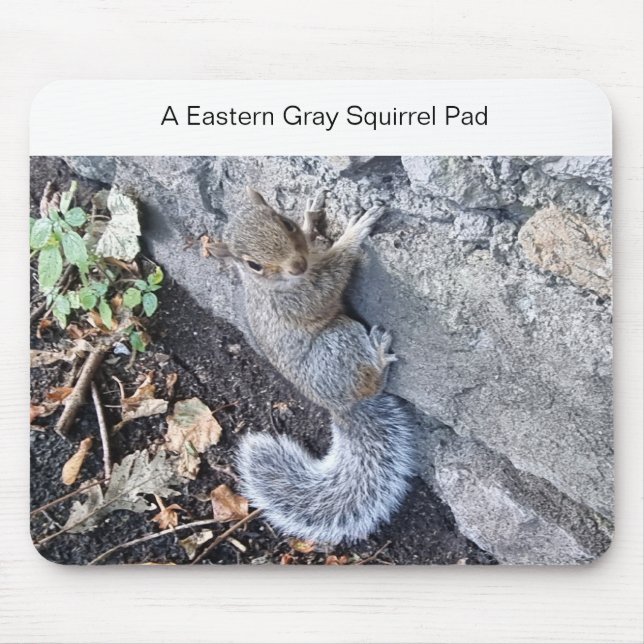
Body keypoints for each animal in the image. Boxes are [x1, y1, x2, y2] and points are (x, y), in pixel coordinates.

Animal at [213, 187, 415, 544]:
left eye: (286, 223)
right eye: (254, 265)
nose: (297, 265)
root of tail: (341, 406)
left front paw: (311, 221)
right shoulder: (301, 298)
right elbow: (332, 277)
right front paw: (354, 232)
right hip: (340, 340)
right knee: (370, 380)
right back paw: (378, 354)